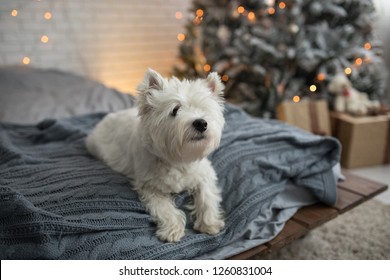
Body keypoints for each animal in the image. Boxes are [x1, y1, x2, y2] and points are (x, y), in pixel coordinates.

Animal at [86, 69, 225, 242]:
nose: (201, 123)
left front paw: (210, 223)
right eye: (175, 110)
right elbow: (165, 208)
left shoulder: (205, 174)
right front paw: (172, 230)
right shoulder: (149, 187)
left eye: (204, 109)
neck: (178, 159)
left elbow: (207, 197)